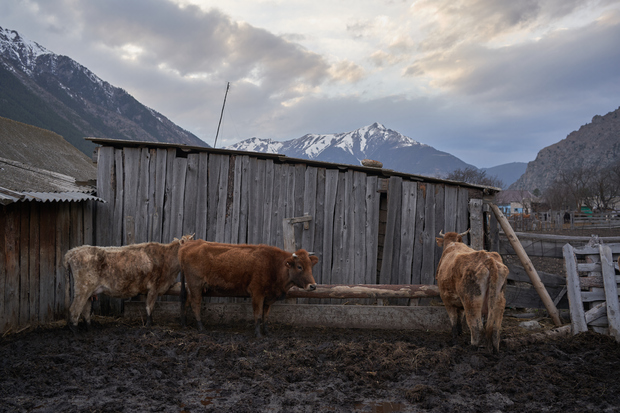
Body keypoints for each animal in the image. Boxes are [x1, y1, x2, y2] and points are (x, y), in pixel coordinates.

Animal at [64, 235, 193, 332]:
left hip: (89, 291)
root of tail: (72, 252)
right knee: (74, 309)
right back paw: (75, 330)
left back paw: (89, 328)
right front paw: (148, 324)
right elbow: (149, 306)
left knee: (85, 310)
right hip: (83, 288)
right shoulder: (154, 287)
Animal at [177, 240, 318, 336]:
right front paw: (258, 334)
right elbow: (258, 314)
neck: (274, 265)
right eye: (299, 266)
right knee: (195, 304)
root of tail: (188, 245)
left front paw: (267, 332)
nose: (313, 286)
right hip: (195, 285)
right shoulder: (257, 294)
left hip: (191, 287)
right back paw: (201, 327)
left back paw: (184, 325)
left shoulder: (268, 298)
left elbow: (266, 316)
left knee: (187, 301)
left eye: (311, 266)